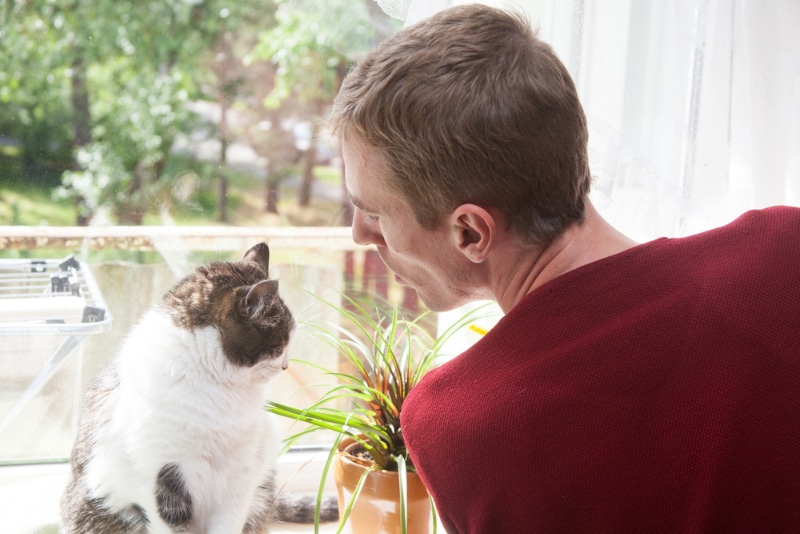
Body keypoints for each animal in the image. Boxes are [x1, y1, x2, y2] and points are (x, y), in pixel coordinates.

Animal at [60, 245, 338, 532]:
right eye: (281, 344)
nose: (285, 366)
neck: (215, 391)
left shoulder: (241, 474)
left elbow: (228, 522)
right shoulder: (159, 479)